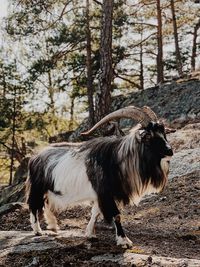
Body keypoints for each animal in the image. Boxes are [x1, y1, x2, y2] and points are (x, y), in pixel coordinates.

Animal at [25, 105, 173, 248]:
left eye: (163, 132)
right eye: (148, 136)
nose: (169, 151)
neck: (118, 159)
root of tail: (34, 157)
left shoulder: (100, 194)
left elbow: (95, 213)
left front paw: (90, 234)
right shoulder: (106, 192)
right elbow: (116, 215)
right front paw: (124, 241)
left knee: (44, 205)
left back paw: (53, 226)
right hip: (37, 188)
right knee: (33, 205)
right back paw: (38, 231)